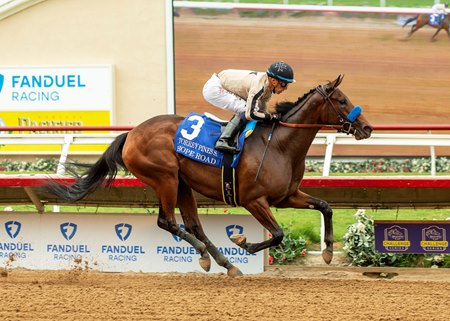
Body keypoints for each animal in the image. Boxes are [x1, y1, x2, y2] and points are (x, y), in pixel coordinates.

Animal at [47, 74, 374, 276]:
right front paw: (244, 242)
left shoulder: (287, 195)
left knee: (194, 224)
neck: (279, 144)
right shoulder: (254, 200)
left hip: (182, 183)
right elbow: (278, 234)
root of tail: (132, 134)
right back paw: (209, 254)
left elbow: (325, 207)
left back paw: (223, 262)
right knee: (168, 221)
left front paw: (328, 252)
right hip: (165, 178)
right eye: (342, 101)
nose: (367, 128)